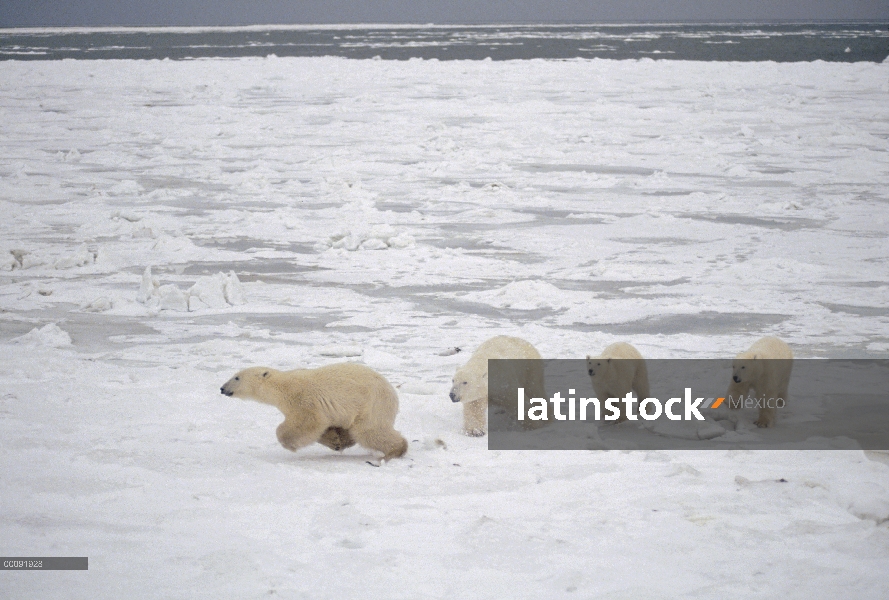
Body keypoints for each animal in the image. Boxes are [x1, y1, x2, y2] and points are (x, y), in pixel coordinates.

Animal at [220, 360, 408, 464]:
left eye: (237, 377)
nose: (222, 388)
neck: (281, 387)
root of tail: (392, 392)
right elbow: (322, 427)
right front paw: (335, 440)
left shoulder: (302, 399)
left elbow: (309, 422)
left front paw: (290, 444)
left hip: (372, 404)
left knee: (369, 431)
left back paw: (394, 452)